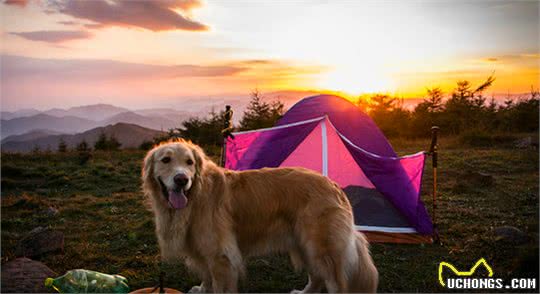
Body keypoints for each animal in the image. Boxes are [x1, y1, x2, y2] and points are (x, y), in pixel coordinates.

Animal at [143, 140, 380, 292]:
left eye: (189, 162)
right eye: (166, 160)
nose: (182, 180)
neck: (196, 195)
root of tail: (333, 185)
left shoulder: (221, 257)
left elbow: (219, 284)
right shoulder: (203, 252)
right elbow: (206, 277)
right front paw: (202, 289)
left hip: (322, 247)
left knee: (334, 283)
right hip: (304, 244)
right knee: (317, 277)